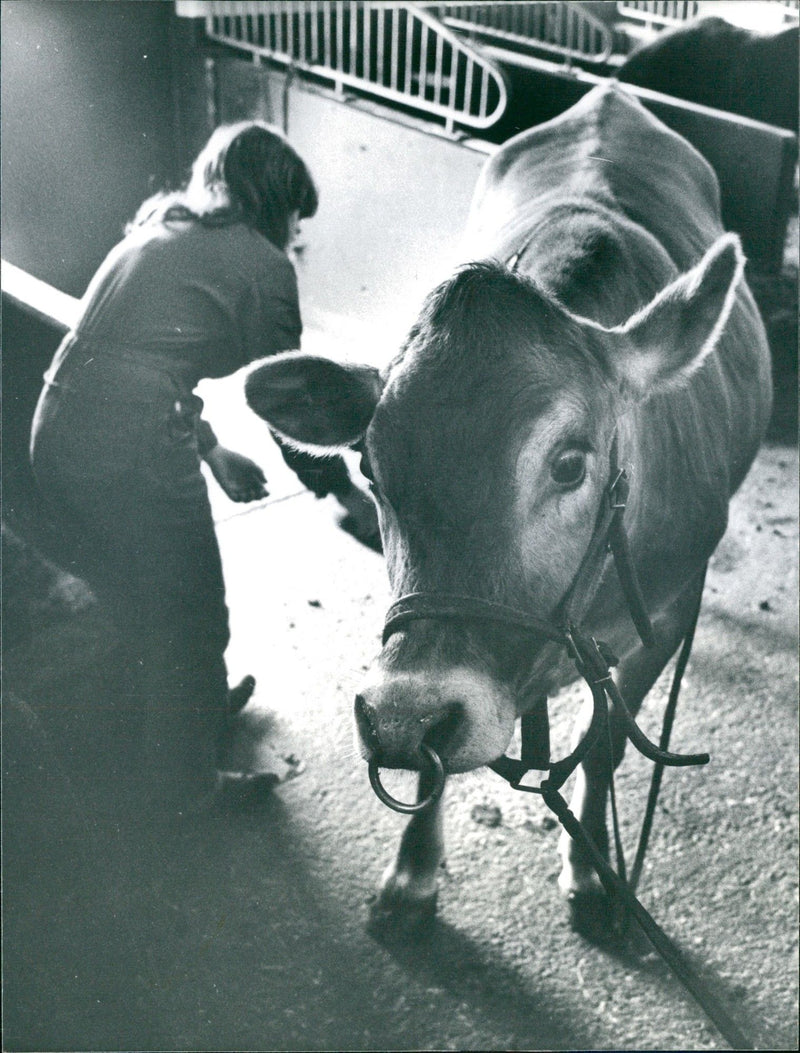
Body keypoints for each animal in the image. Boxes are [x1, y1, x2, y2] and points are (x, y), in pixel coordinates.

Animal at [247, 84, 770, 939]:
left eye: (569, 463)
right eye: (371, 468)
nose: (401, 719)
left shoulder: (667, 615)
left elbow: (602, 747)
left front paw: (589, 867)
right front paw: (412, 876)